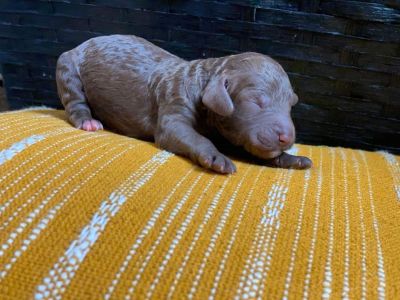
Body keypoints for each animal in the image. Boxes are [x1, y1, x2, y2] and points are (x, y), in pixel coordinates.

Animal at [57, 34, 312, 173]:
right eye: (256, 102)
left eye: (290, 105)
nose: (287, 138)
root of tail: (81, 44)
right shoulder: (174, 105)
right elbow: (191, 136)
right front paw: (216, 158)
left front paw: (291, 159)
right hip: (67, 67)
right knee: (75, 102)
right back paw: (88, 121)